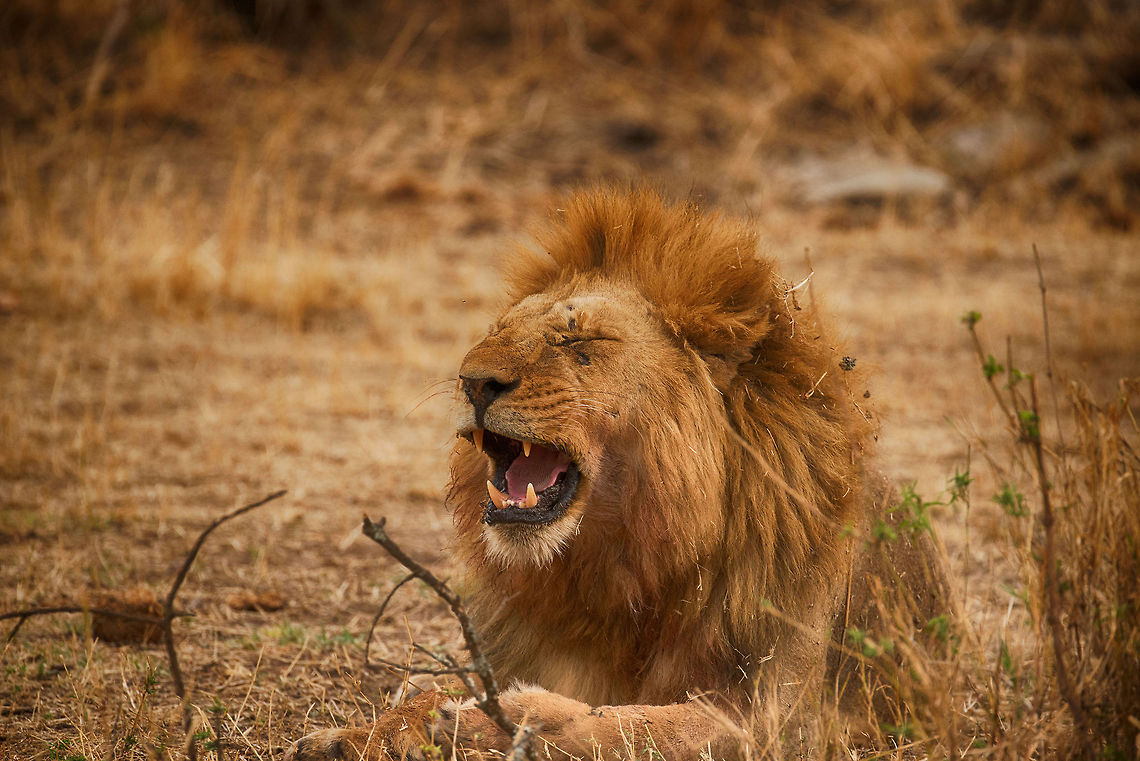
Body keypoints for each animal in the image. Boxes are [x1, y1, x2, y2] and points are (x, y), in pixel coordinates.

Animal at [288, 188, 952, 761]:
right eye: (497, 332)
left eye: (577, 339)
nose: (473, 381)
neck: (626, 565)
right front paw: (356, 734)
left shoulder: (785, 721)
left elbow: (634, 725)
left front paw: (490, 717)